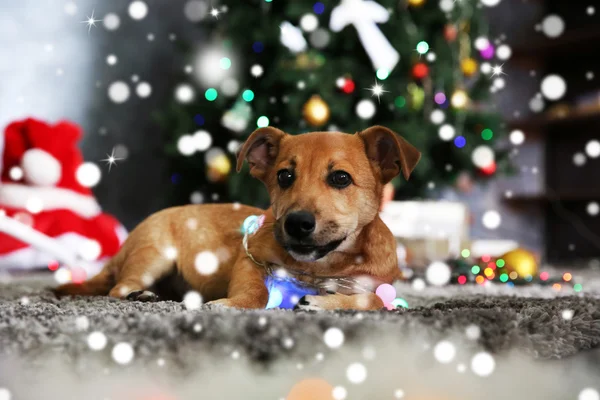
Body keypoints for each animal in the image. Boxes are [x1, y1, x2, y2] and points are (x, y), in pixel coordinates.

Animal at [56, 126, 422, 310]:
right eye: (285, 176)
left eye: (341, 178)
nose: (296, 223)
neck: (322, 266)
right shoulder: (250, 259)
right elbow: (255, 293)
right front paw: (230, 305)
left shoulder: (377, 284)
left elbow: (375, 300)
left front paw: (325, 303)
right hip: (153, 256)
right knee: (118, 288)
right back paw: (142, 295)